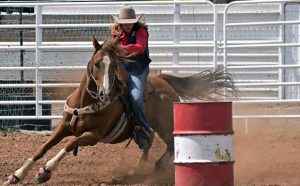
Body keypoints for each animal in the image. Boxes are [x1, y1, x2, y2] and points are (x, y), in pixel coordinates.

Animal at [4, 37, 239, 185]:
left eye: (114, 66)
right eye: (97, 64)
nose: (106, 93)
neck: (84, 102)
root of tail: (164, 81)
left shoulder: (93, 136)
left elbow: (70, 144)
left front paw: (45, 171)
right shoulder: (63, 126)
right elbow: (42, 147)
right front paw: (16, 175)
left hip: (166, 126)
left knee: (171, 144)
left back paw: (153, 169)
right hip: (150, 127)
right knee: (149, 139)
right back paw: (139, 169)